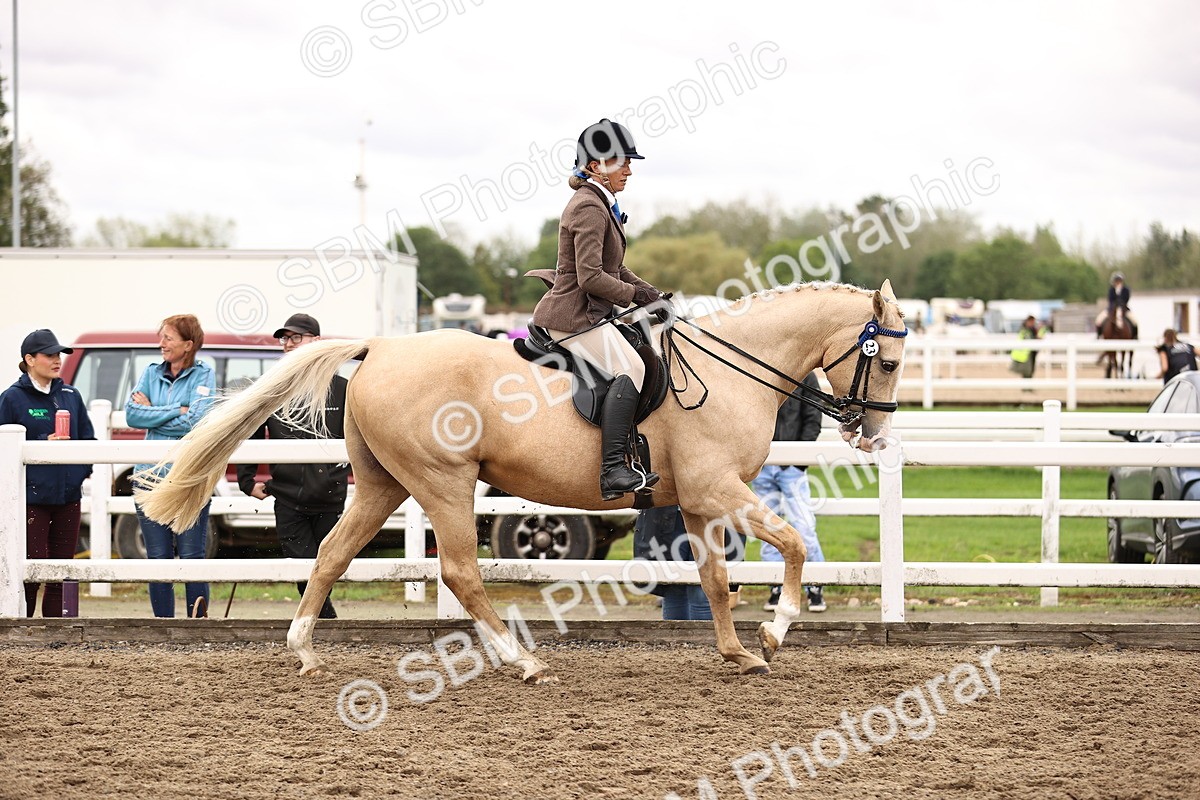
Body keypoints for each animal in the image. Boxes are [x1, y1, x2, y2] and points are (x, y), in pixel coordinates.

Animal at [138, 280, 908, 682]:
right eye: (891, 362)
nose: (872, 434)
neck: (731, 370)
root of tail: (381, 347)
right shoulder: (719, 491)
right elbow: (795, 547)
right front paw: (775, 633)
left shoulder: (696, 501)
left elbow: (717, 581)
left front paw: (737, 652)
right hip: (443, 483)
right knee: (459, 570)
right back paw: (521, 660)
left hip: (383, 483)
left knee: (330, 554)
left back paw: (303, 650)